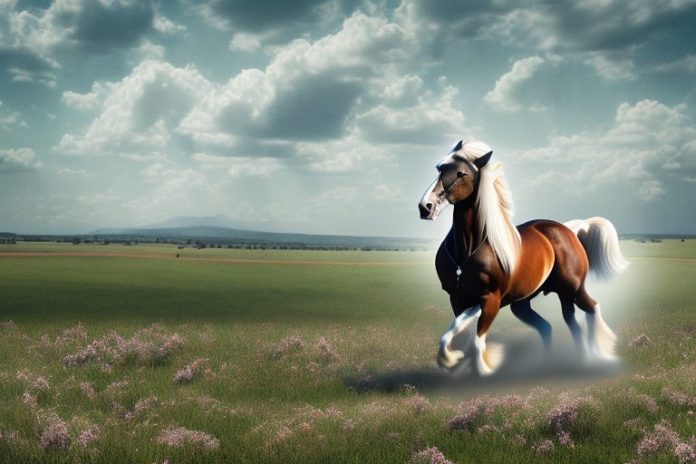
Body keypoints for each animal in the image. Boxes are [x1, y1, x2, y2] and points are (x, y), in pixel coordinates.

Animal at [418, 140, 629, 376]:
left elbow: (477, 341)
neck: (467, 251)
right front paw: (453, 361)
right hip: (530, 302)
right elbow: (453, 335)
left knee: (592, 308)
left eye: (461, 173)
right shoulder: (461, 299)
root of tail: (570, 231)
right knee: (559, 325)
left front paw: (482, 369)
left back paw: (595, 356)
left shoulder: (490, 299)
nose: (426, 207)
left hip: (573, 289)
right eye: (439, 168)